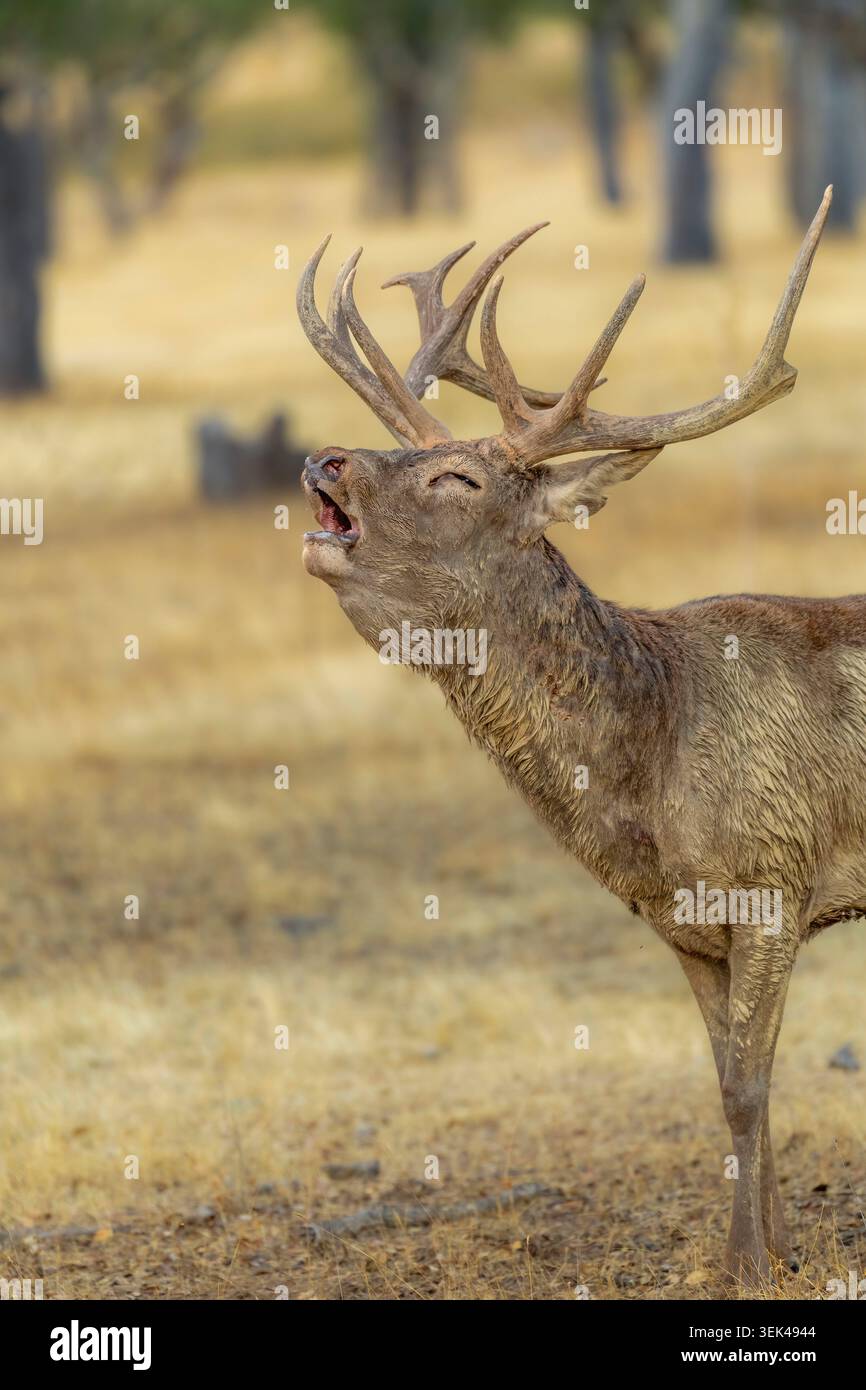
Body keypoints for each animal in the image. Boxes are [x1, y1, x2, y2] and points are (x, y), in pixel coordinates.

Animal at [295, 185, 866, 1288]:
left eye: (460, 481)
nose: (323, 456)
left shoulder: (775, 879)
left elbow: (745, 1090)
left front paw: (747, 1265)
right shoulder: (684, 925)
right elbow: (737, 1080)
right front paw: (770, 1245)